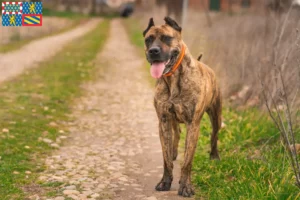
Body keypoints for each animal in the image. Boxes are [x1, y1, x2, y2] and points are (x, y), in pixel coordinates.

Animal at [143, 16, 223, 197]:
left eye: (167, 38)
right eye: (148, 39)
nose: (153, 51)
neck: (173, 78)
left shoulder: (193, 124)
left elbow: (187, 161)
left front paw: (185, 186)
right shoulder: (164, 121)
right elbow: (165, 158)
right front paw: (165, 182)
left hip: (216, 115)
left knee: (214, 136)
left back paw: (214, 156)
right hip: (173, 121)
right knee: (177, 133)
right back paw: (174, 153)